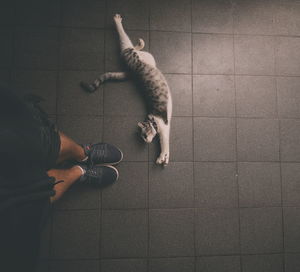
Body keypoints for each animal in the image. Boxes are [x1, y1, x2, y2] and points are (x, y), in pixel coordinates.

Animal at [81, 14, 172, 166]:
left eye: (144, 134)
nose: (146, 141)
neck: (152, 120)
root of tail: (132, 72)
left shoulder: (164, 127)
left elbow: (165, 143)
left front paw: (162, 157)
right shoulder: (163, 128)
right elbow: (165, 144)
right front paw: (164, 158)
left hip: (132, 55)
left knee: (125, 42)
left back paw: (117, 21)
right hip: (145, 57)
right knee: (133, 47)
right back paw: (139, 42)